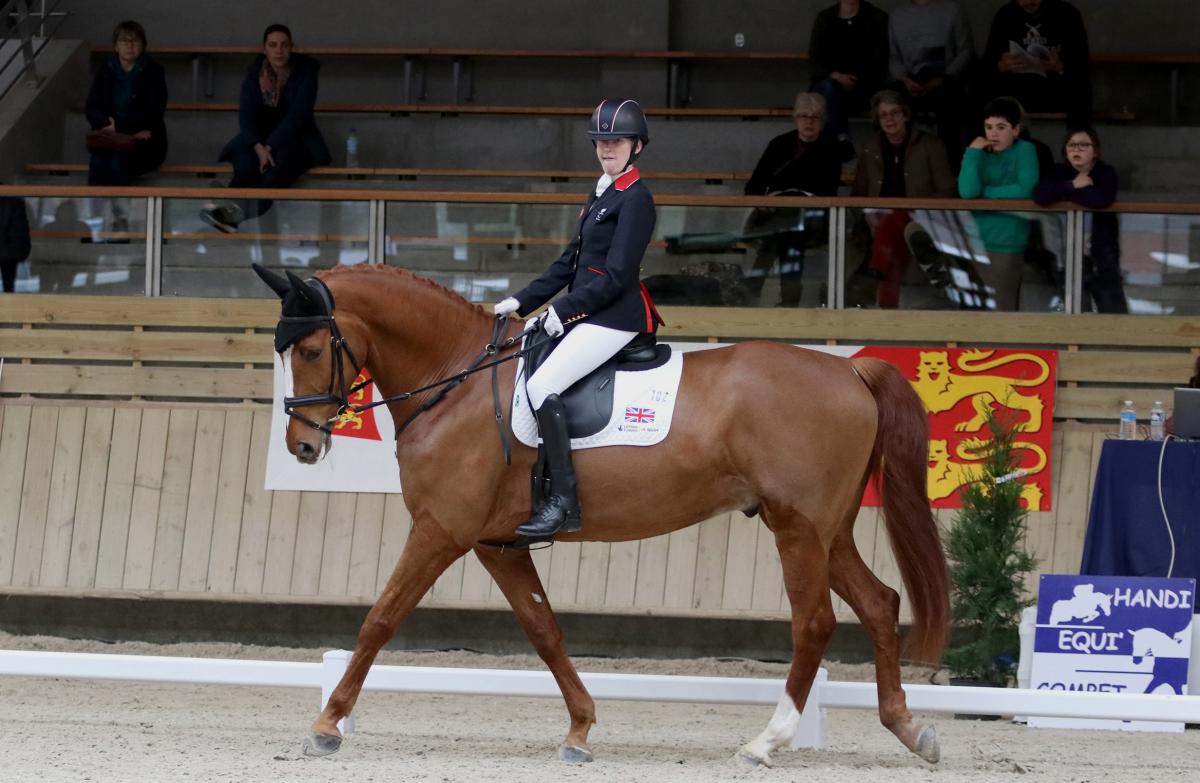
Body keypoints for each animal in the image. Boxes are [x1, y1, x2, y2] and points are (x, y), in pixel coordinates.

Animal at [258, 261, 950, 763]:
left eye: (312, 349)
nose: (302, 446)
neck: (454, 379)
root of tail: (849, 370)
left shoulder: (440, 532)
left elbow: (379, 619)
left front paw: (327, 725)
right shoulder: (494, 543)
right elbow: (544, 630)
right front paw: (580, 731)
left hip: (799, 528)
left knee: (814, 623)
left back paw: (766, 742)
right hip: (829, 529)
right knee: (880, 603)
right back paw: (909, 729)